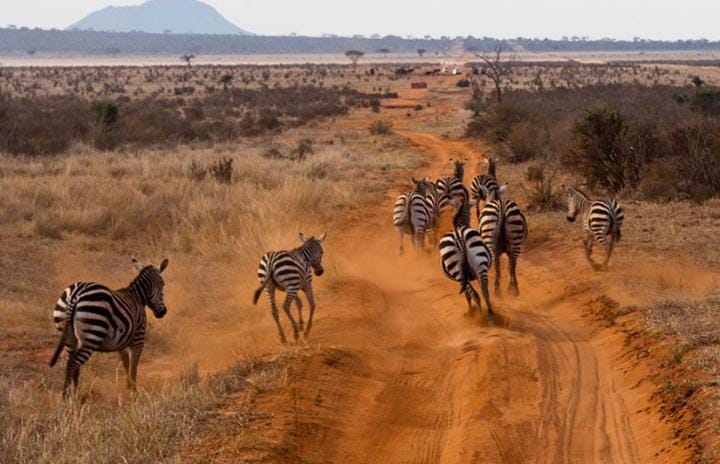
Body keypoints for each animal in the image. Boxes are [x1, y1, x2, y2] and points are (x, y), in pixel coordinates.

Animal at [49, 258, 170, 397]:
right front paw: (134, 392)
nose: (163, 312)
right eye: (163, 284)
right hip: (92, 335)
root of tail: (75, 294)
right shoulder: (139, 339)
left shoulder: (121, 342)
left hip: (69, 336)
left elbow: (126, 363)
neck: (138, 297)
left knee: (71, 363)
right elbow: (134, 366)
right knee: (73, 363)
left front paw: (128, 387)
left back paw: (75, 394)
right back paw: (66, 397)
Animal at [438, 192, 494, 320]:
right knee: (483, 291)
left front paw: (470, 311)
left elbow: (467, 295)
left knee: (475, 293)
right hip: (478, 265)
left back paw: (480, 315)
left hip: (459, 271)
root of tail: (458, 236)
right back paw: (488, 315)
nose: (476, 200)